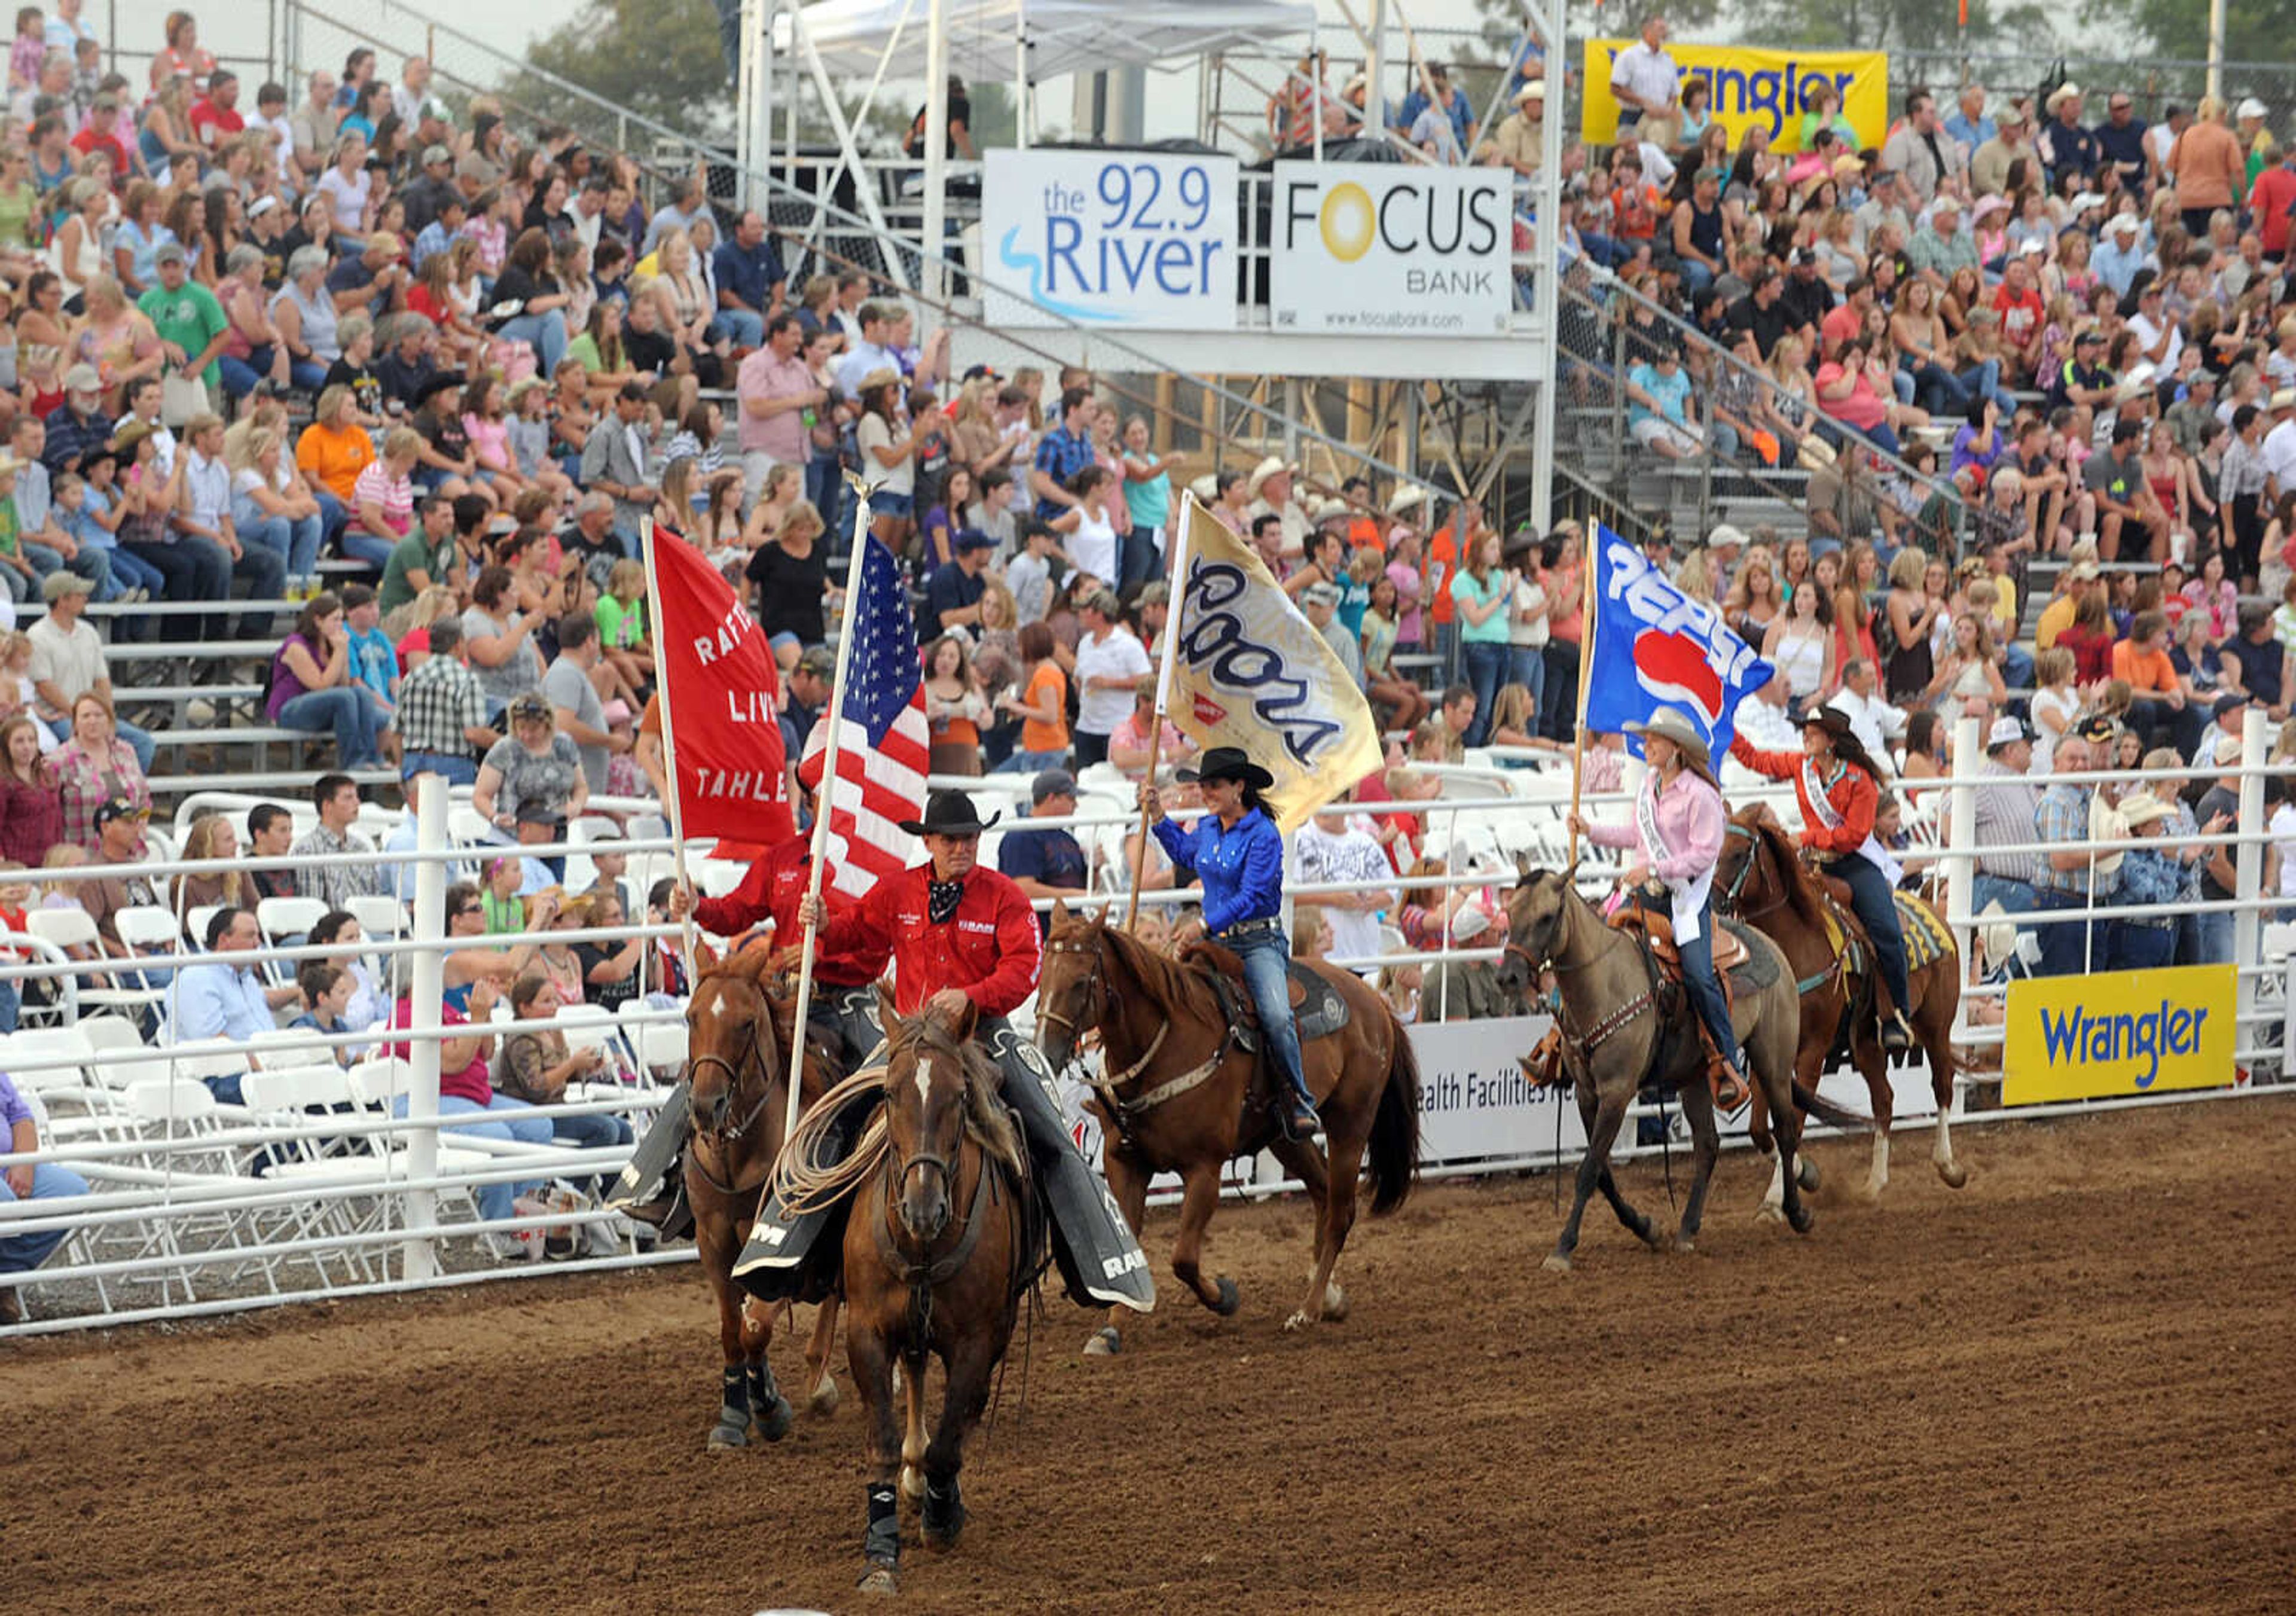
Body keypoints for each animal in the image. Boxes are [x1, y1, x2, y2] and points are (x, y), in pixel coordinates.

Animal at [689, 955, 854, 1460]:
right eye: (691, 1017)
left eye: (746, 1024)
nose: (705, 1105)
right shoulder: (713, 1242)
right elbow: (733, 1329)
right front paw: (732, 1416)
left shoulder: (784, 1259)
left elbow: (756, 1328)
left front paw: (769, 1409)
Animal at [845, 992, 1042, 1597]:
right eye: (889, 1093)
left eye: (958, 1097)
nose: (923, 1207)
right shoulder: (866, 1332)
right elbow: (883, 1443)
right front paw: (881, 1554)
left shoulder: (977, 1341)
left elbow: (952, 1438)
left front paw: (941, 1517)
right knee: (914, 1372)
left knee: (962, 1414)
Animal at [1037, 904, 1414, 1359]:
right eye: (1041, 977)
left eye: (1080, 982)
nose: (1044, 1050)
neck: (1165, 1045)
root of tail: (1374, 1000)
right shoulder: (1125, 1163)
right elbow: (1129, 1248)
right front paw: (1110, 1331)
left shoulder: (1205, 1169)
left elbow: (1183, 1258)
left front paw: (1224, 1296)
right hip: (1286, 1138)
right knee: (1323, 1194)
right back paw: (1329, 1298)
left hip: (1351, 1125)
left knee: (1342, 1211)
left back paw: (1308, 1310)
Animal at [1708, 808, 1974, 1212]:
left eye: (1739, 854)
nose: (1708, 907)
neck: (1796, 944)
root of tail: (1933, 907)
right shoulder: (1770, 1048)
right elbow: (1759, 1130)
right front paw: (1803, 1175)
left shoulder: (1813, 1051)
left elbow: (1792, 1123)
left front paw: (1777, 1196)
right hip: (1866, 1043)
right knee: (1884, 1100)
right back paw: (1874, 1183)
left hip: (1936, 1026)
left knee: (1942, 1084)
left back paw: (1949, 1167)